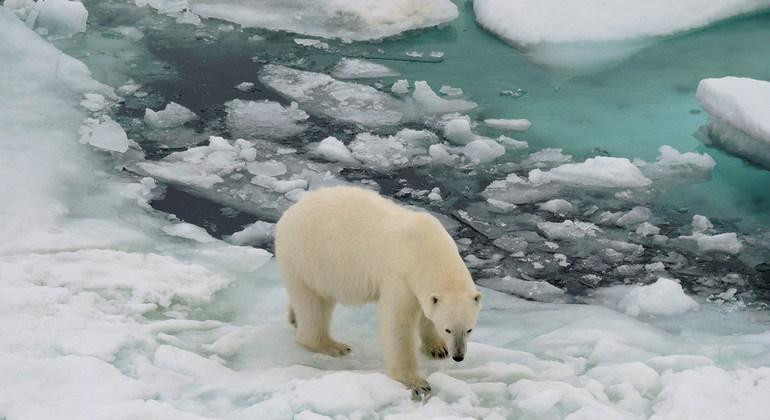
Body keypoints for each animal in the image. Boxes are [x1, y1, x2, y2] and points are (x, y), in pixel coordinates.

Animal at [276, 185, 480, 396]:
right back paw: (332, 345)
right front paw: (417, 383)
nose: (458, 356)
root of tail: (289, 213)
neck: (426, 248)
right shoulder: (399, 276)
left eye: (469, 329)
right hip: (308, 258)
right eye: (448, 329)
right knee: (313, 305)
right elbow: (397, 324)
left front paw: (437, 348)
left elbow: (426, 313)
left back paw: (294, 317)